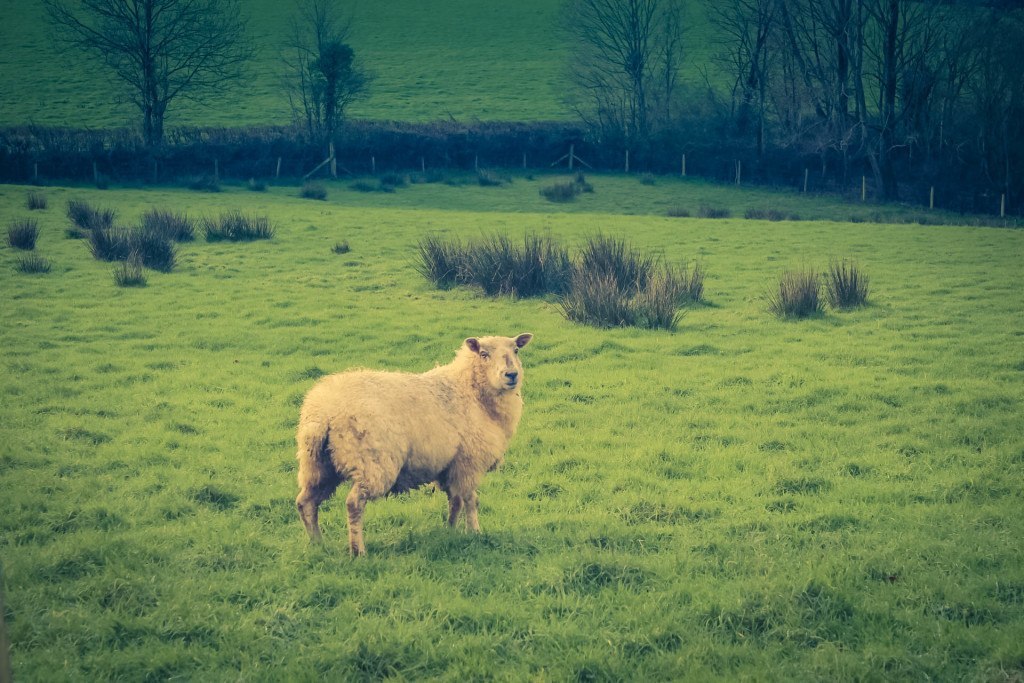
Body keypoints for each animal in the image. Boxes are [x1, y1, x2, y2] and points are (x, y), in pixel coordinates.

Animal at [296, 331, 536, 557]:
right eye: (484, 354)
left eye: (516, 350)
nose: (511, 375)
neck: (471, 391)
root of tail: (324, 411)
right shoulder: (469, 462)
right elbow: (470, 500)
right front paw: (475, 532)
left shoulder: (450, 465)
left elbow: (455, 501)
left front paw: (450, 531)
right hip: (371, 463)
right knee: (354, 504)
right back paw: (358, 551)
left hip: (318, 465)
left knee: (305, 502)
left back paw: (317, 544)